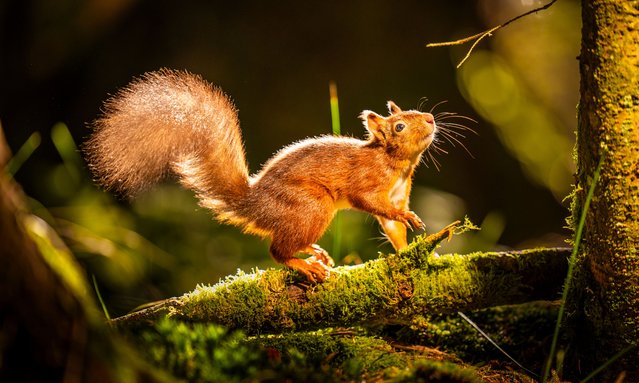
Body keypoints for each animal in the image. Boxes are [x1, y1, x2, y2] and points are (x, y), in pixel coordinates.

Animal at [85, 69, 438, 282]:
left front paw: (412, 247)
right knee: (277, 251)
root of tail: (255, 205)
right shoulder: (365, 182)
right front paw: (405, 218)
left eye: (413, 112)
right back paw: (303, 263)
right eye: (399, 126)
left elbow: (392, 228)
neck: (395, 163)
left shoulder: (398, 191)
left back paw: (315, 253)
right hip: (312, 207)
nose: (431, 119)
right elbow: (369, 202)